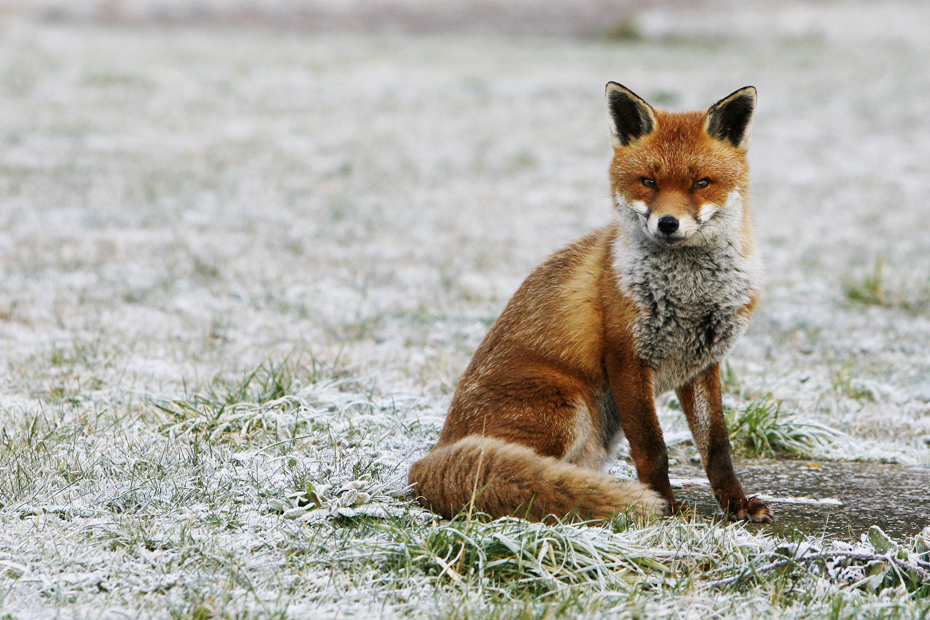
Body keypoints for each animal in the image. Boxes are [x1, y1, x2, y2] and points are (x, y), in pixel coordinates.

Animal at [410, 83, 772, 524]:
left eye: (701, 183)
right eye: (648, 181)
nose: (668, 224)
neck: (690, 294)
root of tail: (428, 459)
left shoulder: (703, 365)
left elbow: (718, 448)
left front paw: (737, 506)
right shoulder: (627, 357)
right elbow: (652, 448)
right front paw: (665, 508)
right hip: (568, 406)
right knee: (526, 472)